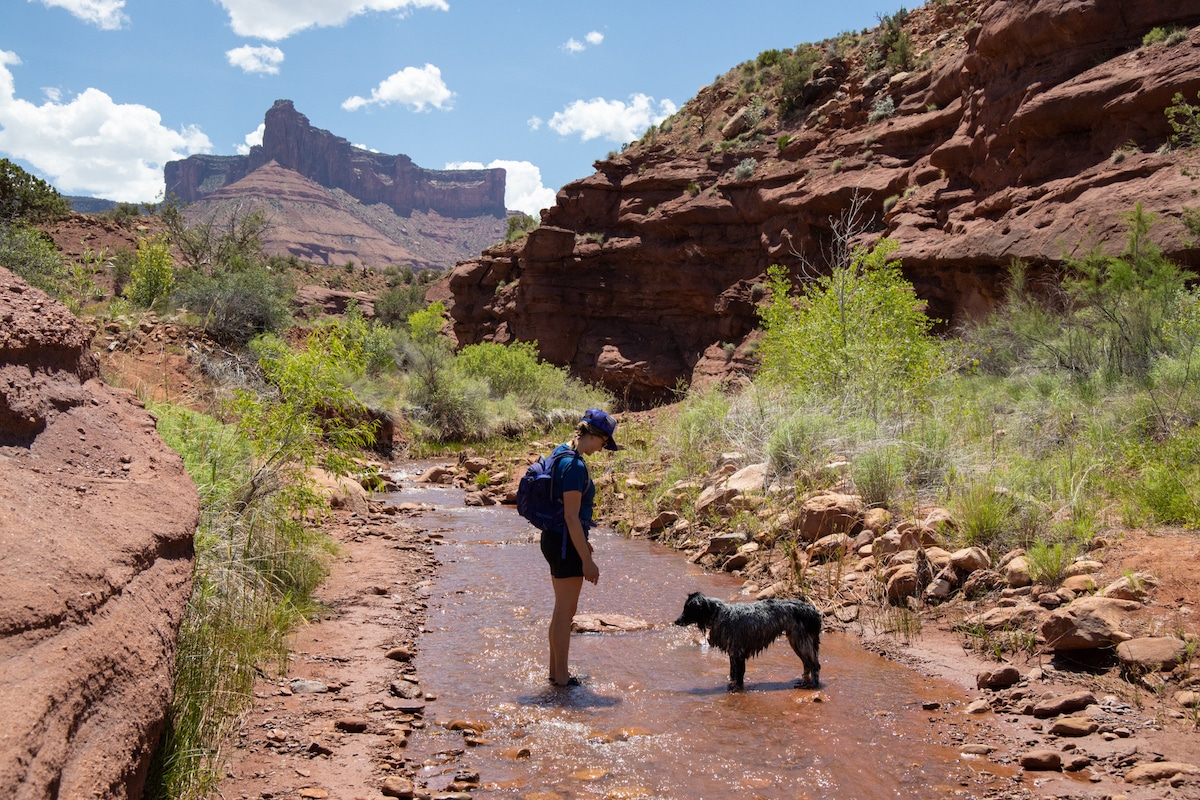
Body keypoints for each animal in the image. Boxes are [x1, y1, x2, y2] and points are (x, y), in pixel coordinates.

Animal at [672, 592, 820, 690]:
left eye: (688, 609)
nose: (676, 621)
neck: (718, 613)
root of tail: (814, 610)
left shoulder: (738, 652)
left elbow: (738, 674)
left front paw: (736, 688)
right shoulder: (733, 653)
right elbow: (733, 673)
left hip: (801, 641)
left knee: (815, 665)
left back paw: (812, 684)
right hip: (796, 641)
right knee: (807, 664)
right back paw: (804, 681)